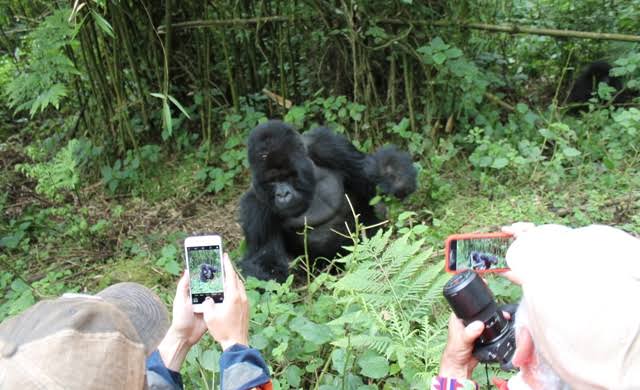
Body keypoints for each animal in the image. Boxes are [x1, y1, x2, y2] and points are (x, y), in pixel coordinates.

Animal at [238, 120, 418, 282]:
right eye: (272, 181)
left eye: (288, 176)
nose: (282, 194)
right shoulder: (255, 205)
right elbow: (265, 261)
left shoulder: (328, 145)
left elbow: (367, 173)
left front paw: (397, 176)